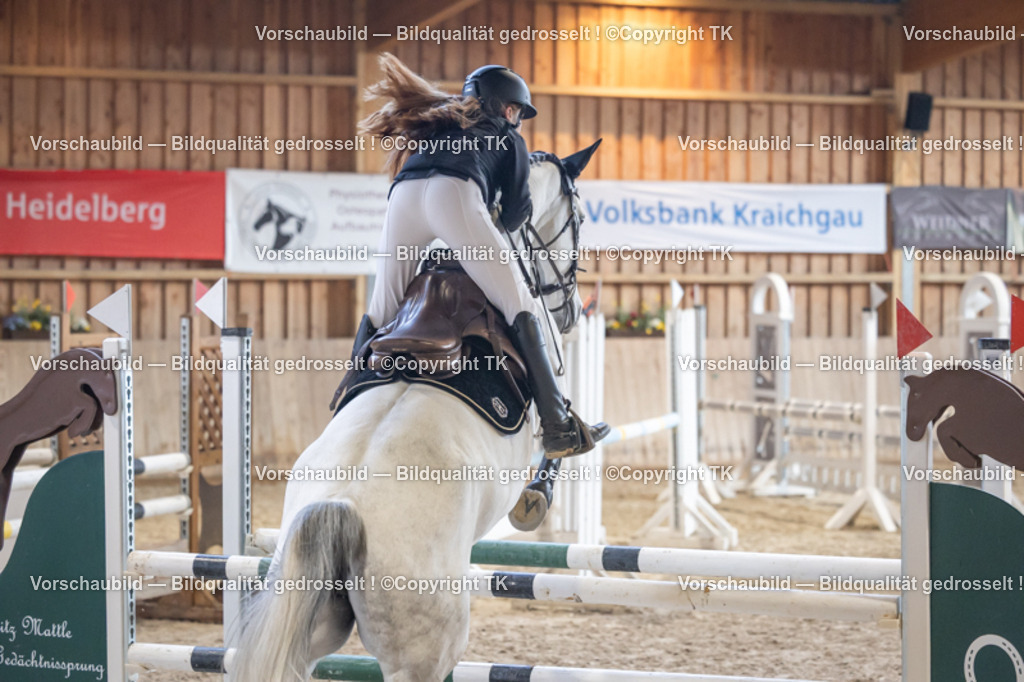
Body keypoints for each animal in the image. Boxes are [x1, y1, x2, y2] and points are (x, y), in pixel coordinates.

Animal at [233, 140, 601, 682]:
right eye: (578, 218)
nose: (573, 309)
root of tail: (342, 507)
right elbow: (559, 441)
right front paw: (536, 496)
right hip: (424, 649)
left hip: (308, 628)